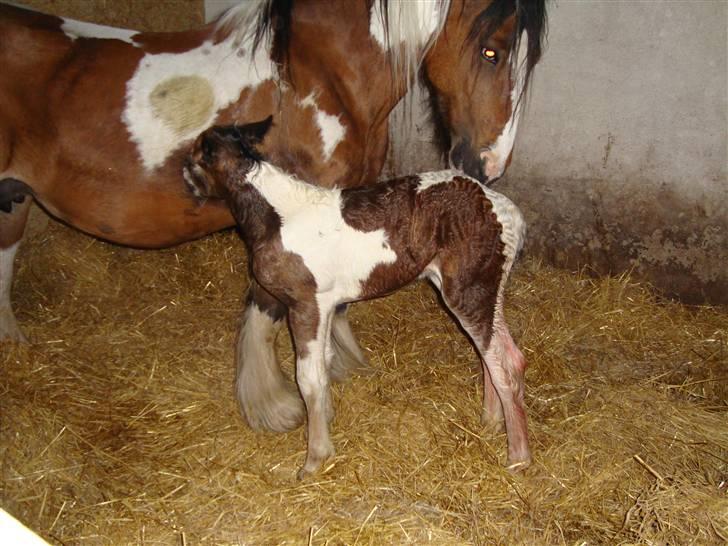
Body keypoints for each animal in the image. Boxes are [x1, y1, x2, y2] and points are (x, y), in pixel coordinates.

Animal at [0, 1, 544, 430]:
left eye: (530, 57)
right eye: (491, 51)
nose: (489, 166)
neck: (316, 75)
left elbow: (336, 304)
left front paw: (341, 365)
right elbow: (265, 312)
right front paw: (273, 406)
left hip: (13, 198)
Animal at [185, 116, 532, 476]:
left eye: (194, 159)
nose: (188, 185)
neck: (277, 217)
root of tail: (510, 214)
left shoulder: (306, 304)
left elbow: (308, 377)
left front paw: (315, 458)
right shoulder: (324, 306)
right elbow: (324, 364)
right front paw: (326, 421)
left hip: (468, 291)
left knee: (503, 363)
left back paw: (518, 457)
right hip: (484, 290)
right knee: (502, 356)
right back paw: (490, 422)